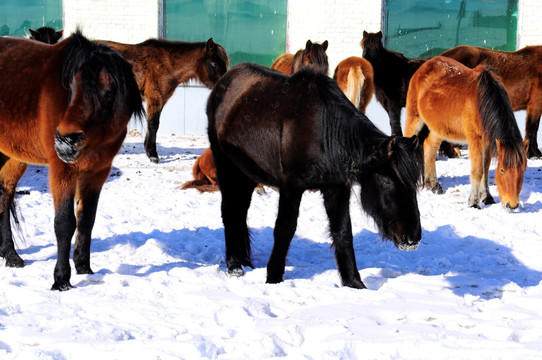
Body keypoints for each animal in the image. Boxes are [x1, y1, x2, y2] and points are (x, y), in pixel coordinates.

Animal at [0, 30, 144, 290]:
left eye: (108, 93)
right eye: (72, 88)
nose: (65, 140)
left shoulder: (98, 171)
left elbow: (86, 219)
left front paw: (84, 267)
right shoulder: (62, 170)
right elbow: (65, 223)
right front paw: (61, 279)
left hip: (13, 156)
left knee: (4, 195)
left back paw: (10, 255)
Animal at [100, 37, 230, 163]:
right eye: (214, 63)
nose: (225, 86)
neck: (165, 64)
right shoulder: (155, 98)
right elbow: (153, 124)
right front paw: (153, 155)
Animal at [208, 62, 424, 290]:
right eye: (387, 182)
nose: (413, 237)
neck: (325, 134)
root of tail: (224, 81)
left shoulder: (337, 188)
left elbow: (343, 231)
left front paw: (354, 283)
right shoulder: (291, 188)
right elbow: (284, 229)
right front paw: (273, 278)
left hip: (247, 175)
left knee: (240, 212)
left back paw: (243, 261)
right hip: (227, 167)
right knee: (230, 212)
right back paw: (234, 266)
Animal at [408, 57, 528, 210]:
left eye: (523, 170)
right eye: (502, 170)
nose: (512, 205)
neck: (482, 100)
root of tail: (424, 66)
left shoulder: (488, 142)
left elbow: (486, 169)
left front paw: (487, 197)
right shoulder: (475, 140)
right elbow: (478, 171)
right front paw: (474, 202)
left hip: (439, 129)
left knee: (429, 148)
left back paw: (434, 185)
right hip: (414, 118)